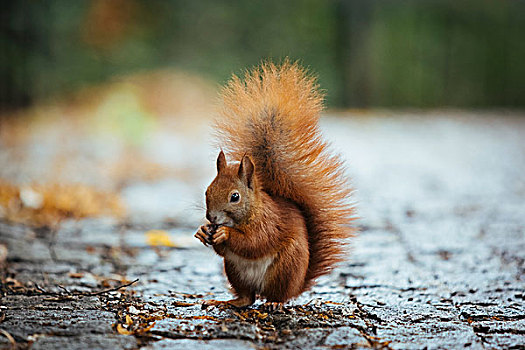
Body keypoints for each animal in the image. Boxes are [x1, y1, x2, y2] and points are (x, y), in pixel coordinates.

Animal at [194, 60, 354, 308]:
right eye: (206, 192)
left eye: (234, 196)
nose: (212, 218)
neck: (251, 212)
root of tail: (299, 285)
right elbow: (223, 251)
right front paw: (203, 231)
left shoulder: (269, 223)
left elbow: (254, 242)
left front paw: (225, 234)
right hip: (235, 271)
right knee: (248, 297)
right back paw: (230, 302)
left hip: (286, 267)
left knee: (276, 294)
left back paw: (274, 303)